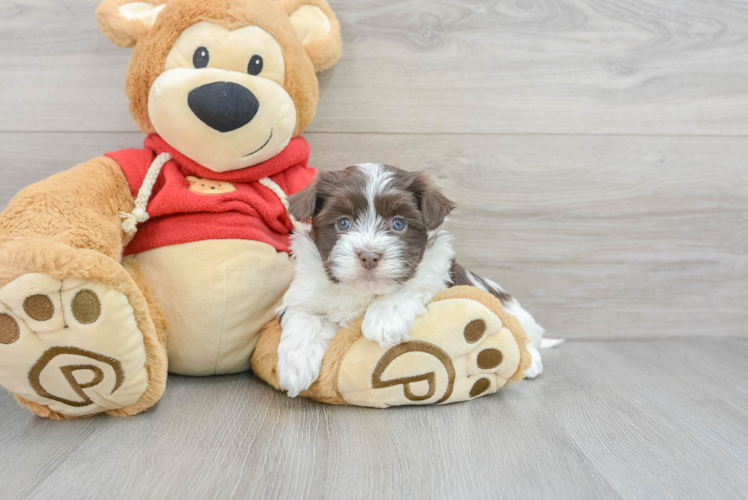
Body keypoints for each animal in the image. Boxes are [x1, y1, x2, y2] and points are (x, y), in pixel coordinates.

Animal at [278, 164, 548, 398]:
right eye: (343, 223)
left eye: (398, 224)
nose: (369, 256)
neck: (365, 292)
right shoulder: (306, 291)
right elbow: (303, 315)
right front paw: (296, 366)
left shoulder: (437, 269)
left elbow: (414, 283)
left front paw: (384, 320)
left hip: (516, 315)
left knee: (526, 338)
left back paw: (531, 362)